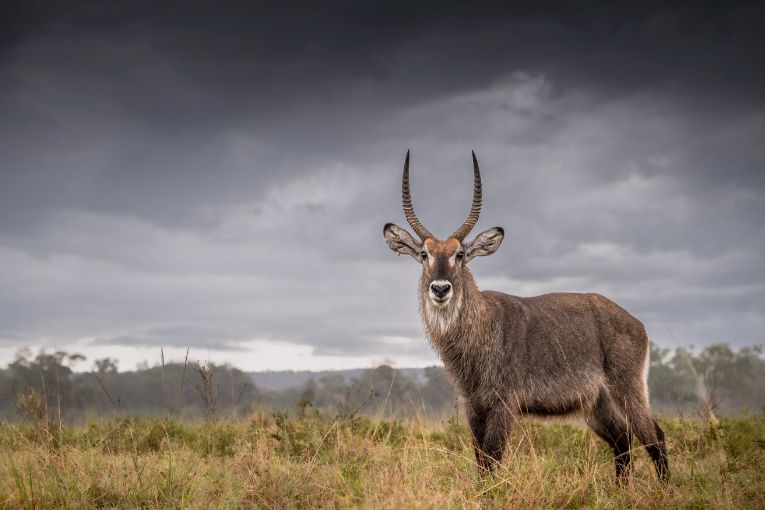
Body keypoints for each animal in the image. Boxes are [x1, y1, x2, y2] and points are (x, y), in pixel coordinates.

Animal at [382, 151, 668, 482]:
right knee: (623, 441)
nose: (440, 288)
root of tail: (636, 323)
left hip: (627, 387)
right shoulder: (472, 406)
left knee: (655, 437)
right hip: (597, 404)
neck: (482, 327)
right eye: (424, 254)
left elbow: (492, 458)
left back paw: (664, 489)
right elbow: (480, 460)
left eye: (460, 255)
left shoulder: (504, 404)